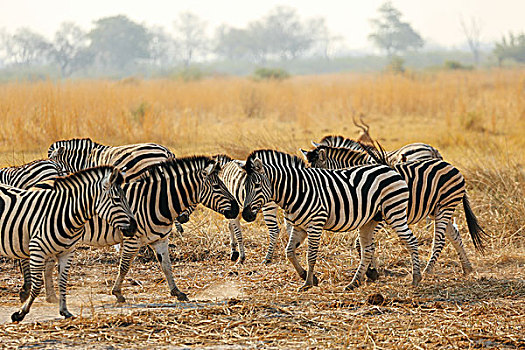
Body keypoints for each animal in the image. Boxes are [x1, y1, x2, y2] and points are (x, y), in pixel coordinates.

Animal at [1, 165, 137, 322]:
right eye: (116, 199)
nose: (134, 227)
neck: (64, 213)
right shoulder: (37, 249)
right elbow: (37, 285)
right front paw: (20, 313)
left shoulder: (68, 252)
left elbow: (63, 282)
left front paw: (65, 311)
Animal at [37, 156, 239, 304]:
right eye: (217, 186)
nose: (237, 209)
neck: (155, 201)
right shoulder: (132, 239)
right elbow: (125, 266)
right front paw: (117, 293)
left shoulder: (160, 239)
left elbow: (167, 266)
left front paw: (177, 292)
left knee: (48, 263)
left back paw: (51, 297)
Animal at [239, 149, 420, 292]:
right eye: (245, 186)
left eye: (257, 184)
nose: (246, 215)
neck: (295, 191)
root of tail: (389, 168)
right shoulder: (299, 227)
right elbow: (289, 252)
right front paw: (307, 276)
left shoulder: (315, 223)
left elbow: (311, 255)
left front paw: (307, 283)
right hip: (370, 220)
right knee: (367, 250)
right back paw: (354, 283)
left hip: (394, 212)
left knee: (411, 241)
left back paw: (416, 278)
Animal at [302, 144, 488, 278]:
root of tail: (450, 165)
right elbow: (365, 243)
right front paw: (371, 270)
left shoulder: (380, 215)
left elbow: (361, 244)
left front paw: (371, 272)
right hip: (437, 209)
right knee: (454, 235)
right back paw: (467, 268)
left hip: (445, 206)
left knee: (440, 239)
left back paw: (428, 270)